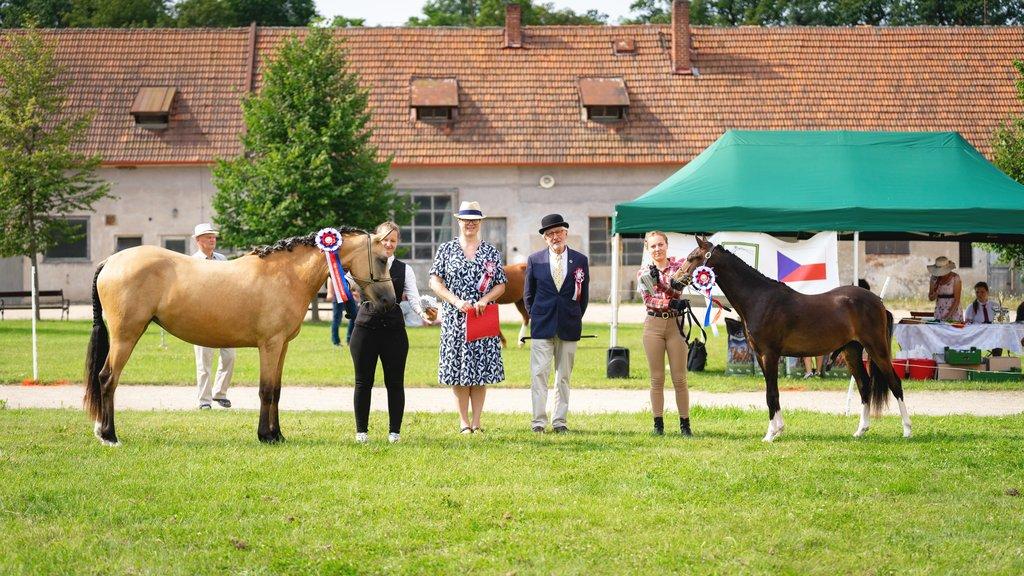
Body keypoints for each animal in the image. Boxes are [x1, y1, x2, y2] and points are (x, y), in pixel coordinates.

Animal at [83, 228, 396, 446]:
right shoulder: (269, 345)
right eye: (382, 259)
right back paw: (109, 435)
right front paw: (266, 436)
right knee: (107, 378)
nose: (390, 302)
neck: (287, 274)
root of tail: (111, 260)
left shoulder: (282, 346)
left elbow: (277, 391)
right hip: (125, 336)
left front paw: (277, 434)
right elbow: (266, 390)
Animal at [677, 236, 911, 442]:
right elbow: (773, 393)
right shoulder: (761, 356)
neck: (759, 299)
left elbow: (771, 393)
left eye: (693, 257)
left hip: (876, 348)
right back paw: (860, 431)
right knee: (864, 385)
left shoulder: (770, 354)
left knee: (895, 383)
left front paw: (770, 434)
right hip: (851, 351)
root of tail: (879, 302)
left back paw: (907, 431)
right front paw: (777, 429)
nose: (674, 281)